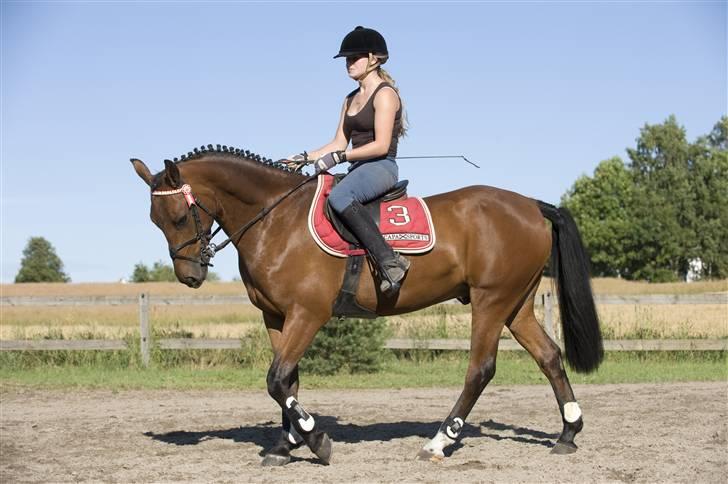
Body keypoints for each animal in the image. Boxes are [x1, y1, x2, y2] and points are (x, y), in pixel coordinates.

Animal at [131, 145, 604, 466]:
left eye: (178, 217)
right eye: (155, 221)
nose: (190, 276)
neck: (274, 219)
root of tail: (531, 205)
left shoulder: (309, 314)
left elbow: (277, 379)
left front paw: (316, 441)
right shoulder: (276, 316)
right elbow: (288, 382)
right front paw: (285, 445)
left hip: (491, 300)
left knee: (480, 369)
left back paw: (440, 442)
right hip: (517, 304)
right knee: (549, 355)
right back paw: (567, 433)